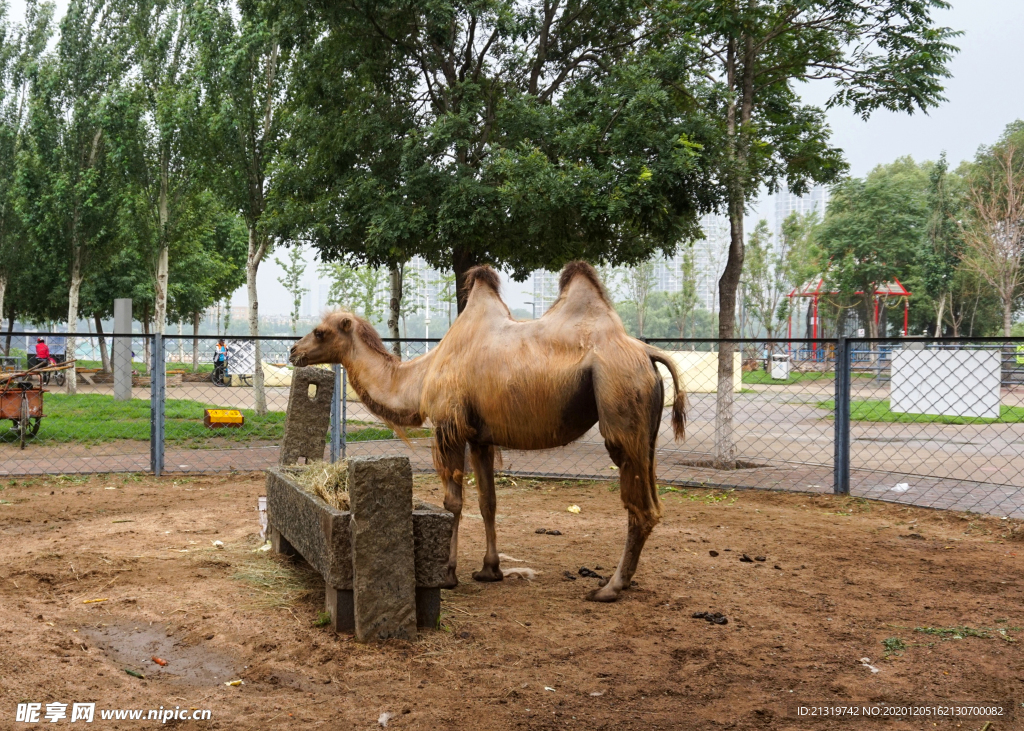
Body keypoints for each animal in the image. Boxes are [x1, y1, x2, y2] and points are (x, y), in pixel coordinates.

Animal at [290, 260, 688, 597]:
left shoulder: (449, 427)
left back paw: (610, 587)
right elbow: (488, 501)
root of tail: (648, 354)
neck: (421, 377)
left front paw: (448, 574)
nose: (294, 351)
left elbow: (453, 502)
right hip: (646, 433)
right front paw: (489, 570)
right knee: (652, 501)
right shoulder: (481, 438)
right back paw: (621, 581)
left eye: (320, 332)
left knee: (639, 506)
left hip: (619, 401)